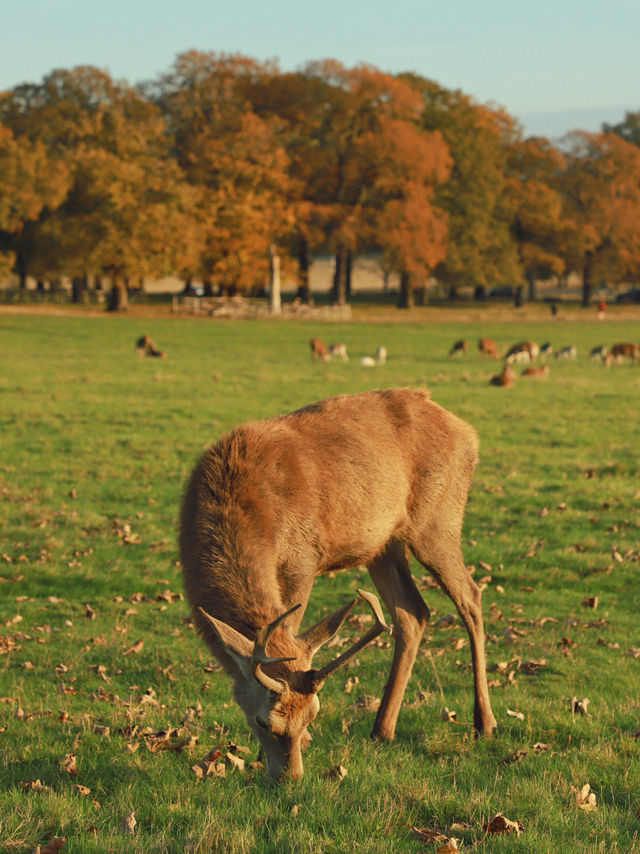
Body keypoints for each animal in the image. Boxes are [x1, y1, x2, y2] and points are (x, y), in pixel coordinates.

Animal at [179, 388, 497, 781]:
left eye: (312, 714)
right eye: (262, 722)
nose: (291, 777)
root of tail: (470, 435)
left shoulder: (302, 559)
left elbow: (292, 630)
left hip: (438, 521)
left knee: (470, 596)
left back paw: (484, 722)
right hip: (383, 544)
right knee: (413, 613)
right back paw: (382, 728)